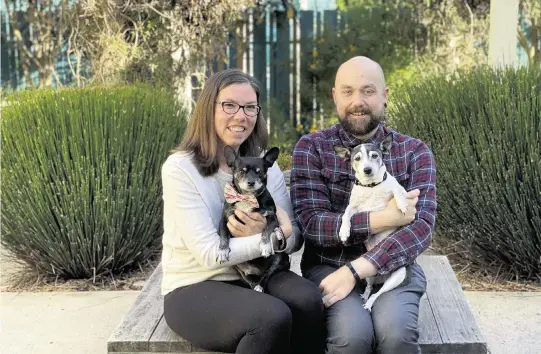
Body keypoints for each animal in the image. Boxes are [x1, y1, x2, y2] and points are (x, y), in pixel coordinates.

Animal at [216, 145, 288, 292]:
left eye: (259, 172)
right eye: (241, 172)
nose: (251, 182)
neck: (247, 198)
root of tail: (258, 271)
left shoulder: (273, 219)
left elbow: (266, 230)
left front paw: (265, 246)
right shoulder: (224, 220)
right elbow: (224, 235)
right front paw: (222, 250)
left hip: (279, 258)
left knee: (267, 275)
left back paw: (260, 286)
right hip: (240, 267)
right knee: (249, 280)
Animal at [334, 133, 410, 312]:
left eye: (375, 156)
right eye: (357, 158)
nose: (367, 169)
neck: (371, 187)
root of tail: (382, 276)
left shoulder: (401, 190)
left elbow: (397, 190)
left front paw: (402, 204)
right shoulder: (355, 207)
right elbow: (346, 214)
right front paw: (344, 232)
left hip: (398, 275)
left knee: (378, 293)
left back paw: (369, 304)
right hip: (368, 272)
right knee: (370, 288)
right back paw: (365, 296)